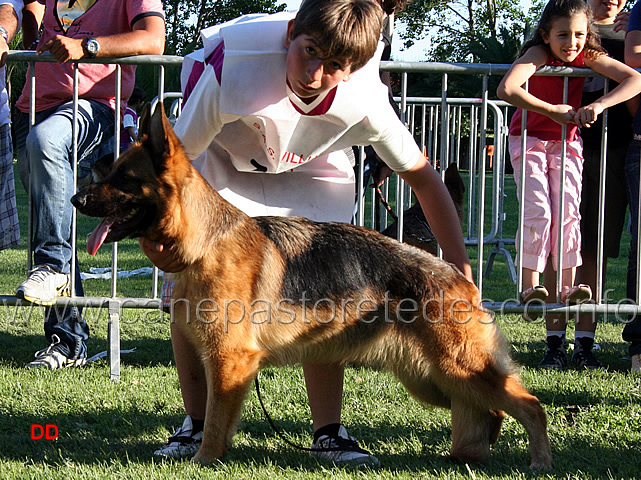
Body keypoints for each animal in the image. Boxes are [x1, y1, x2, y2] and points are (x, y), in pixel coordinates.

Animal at [70, 106, 552, 468]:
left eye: (123, 179)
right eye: (109, 172)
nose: (76, 199)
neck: (205, 241)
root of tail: (455, 272)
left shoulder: (229, 361)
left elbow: (215, 421)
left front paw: (203, 462)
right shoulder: (221, 360)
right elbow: (215, 419)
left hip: (456, 369)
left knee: (530, 405)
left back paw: (539, 462)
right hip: (432, 380)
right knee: (490, 411)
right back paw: (470, 455)